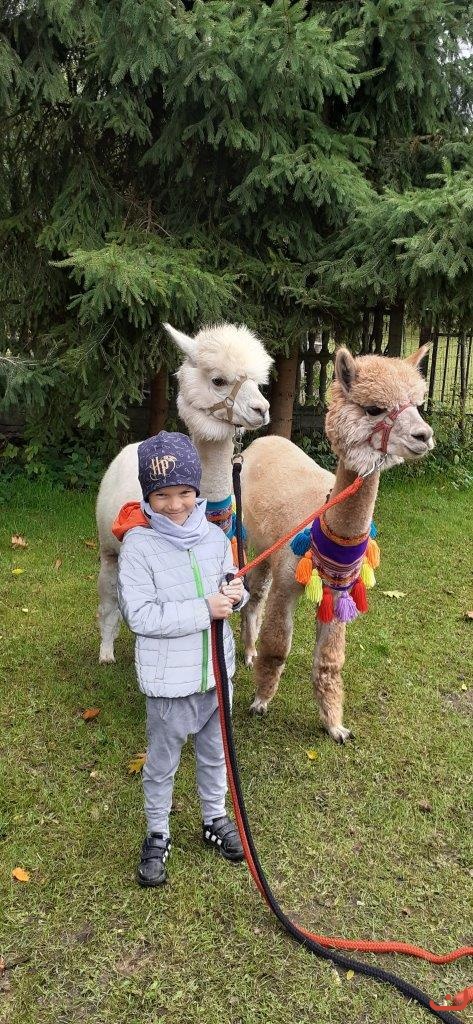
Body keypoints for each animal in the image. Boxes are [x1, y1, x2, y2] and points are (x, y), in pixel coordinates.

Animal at [96, 322, 272, 662]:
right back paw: (106, 651)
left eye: (257, 383)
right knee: (109, 598)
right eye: (218, 380)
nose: (262, 409)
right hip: (108, 547)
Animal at [239, 345, 434, 742]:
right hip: (259, 542)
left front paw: (334, 725)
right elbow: (277, 646)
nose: (425, 435)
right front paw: (261, 701)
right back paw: (249, 652)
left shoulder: (339, 591)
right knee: (254, 596)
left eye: (417, 404)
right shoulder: (287, 581)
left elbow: (329, 660)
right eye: (374, 408)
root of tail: (265, 439)